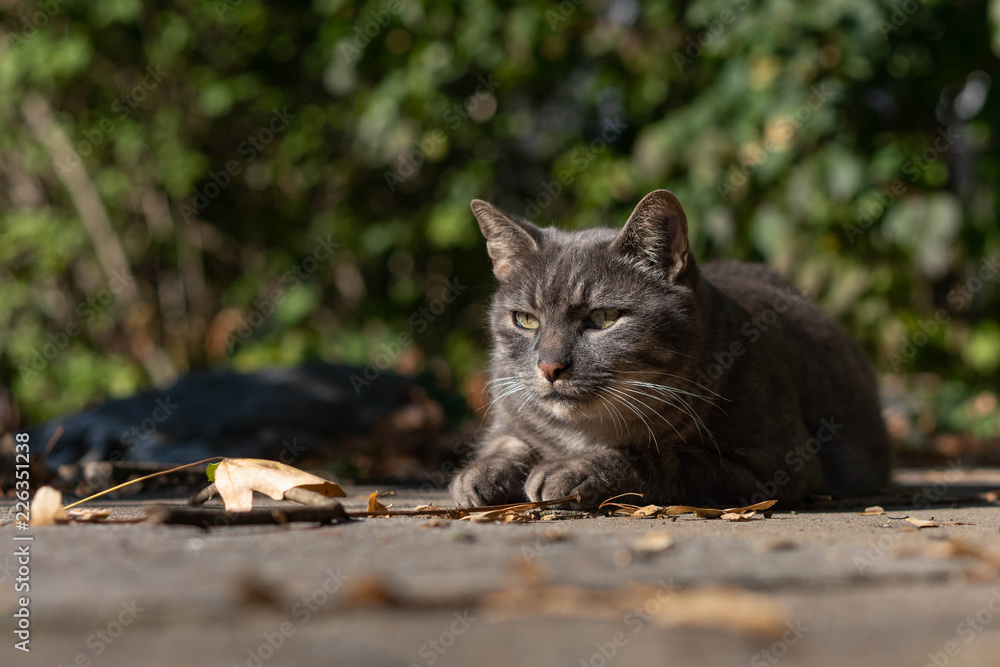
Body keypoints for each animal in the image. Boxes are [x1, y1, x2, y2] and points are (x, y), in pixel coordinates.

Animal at [450, 190, 888, 508]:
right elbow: (506, 443)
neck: (586, 430)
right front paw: (481, 473)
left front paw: (572, 470)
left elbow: (661, 457)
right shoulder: (508, 412)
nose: (549, 366)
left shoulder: (775, 464)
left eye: (604, 317)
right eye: (525, 320)